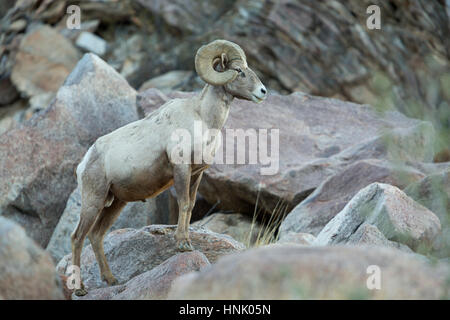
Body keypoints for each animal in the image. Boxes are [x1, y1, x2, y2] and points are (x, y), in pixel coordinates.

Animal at [71, 40, 268, 296]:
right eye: (239, 71)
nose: (263, 92)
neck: (203, 120)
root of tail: (84, 162)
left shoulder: (197, 174)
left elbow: (190, 206)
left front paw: (185, 243)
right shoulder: (181, 169)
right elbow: (183, 204)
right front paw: (183, 245)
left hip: (115, 203)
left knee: (96, 235)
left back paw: (112, 280)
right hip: (93, 200)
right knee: (78, 237)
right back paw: (80, 289)